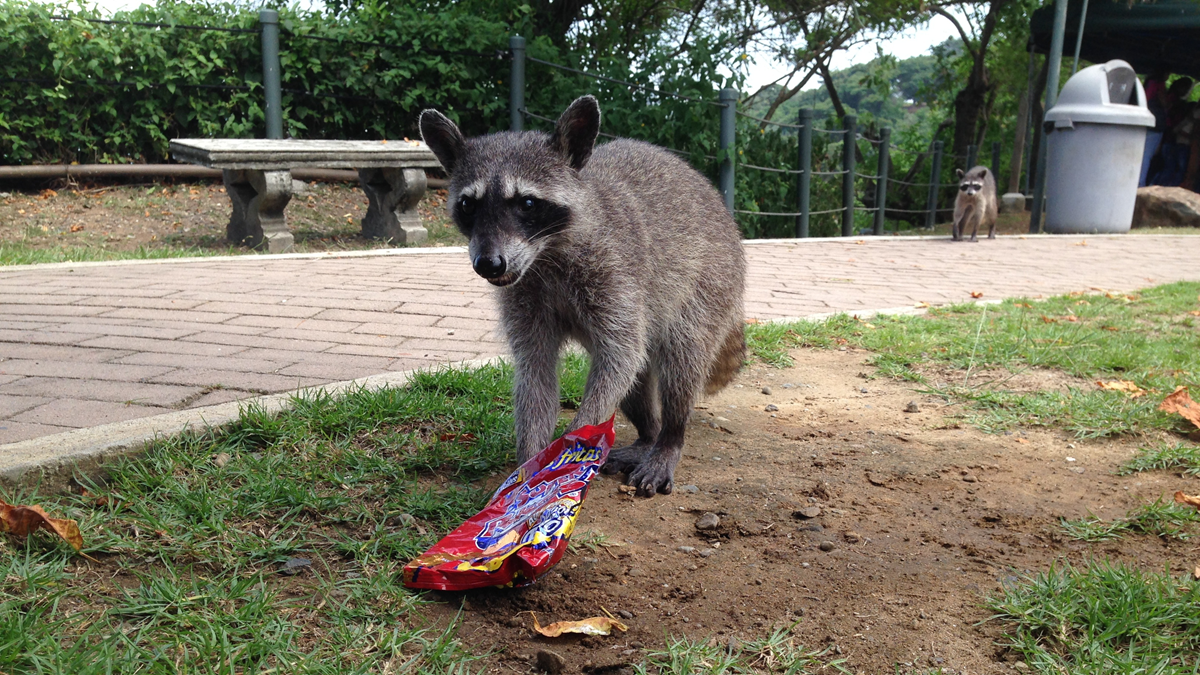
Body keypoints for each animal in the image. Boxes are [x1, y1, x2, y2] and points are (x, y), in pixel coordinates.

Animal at [419, 96, 746, 498]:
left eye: (527, 204)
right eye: (469, 205)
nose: (489, 264)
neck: (544, 255)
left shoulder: (616, 273)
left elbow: (620, 354)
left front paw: (572, 442)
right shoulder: (526, 296)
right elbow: (536, 373)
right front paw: (529, 463)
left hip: (710, 284)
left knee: (678, 363)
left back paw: (669, 437)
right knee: (636, 379)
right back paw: (647, 435)